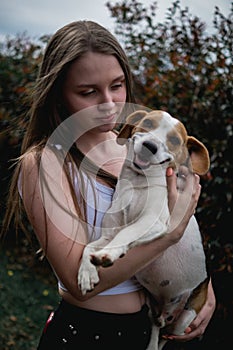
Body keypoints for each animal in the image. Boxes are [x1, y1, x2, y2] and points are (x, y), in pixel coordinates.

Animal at [78, 110, 209, 350]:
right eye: (147, 122)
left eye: (174, 140)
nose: (150, 146)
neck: (137, 183)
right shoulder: (109, 233)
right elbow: (89, 246)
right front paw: (86, 274)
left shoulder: (153, 222)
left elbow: (126, 234)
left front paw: (108, 254)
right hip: (152, 310)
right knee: (157, 329)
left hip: (185, 317)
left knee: (167, 336)